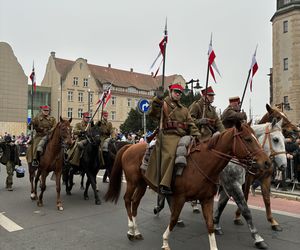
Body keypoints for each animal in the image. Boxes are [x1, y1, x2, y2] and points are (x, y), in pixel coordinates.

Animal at [105, 123, 270, 250]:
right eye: (248, 139)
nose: (267, 162)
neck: (202, 164)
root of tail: (129, 147)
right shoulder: (180, 197)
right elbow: (173, 218)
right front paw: (165, 242)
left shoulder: (207, 199)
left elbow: (210, 224)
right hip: (132, 182)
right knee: (127, 200)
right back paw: (130, 230)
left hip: (142, 185)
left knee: (135, 204)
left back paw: (137, 231)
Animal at [213, 120, 286, 249]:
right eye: (276, 139)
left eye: (284, 139)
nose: (284, 165)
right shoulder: (238, 183)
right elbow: (245, 205)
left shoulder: (264, 179)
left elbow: (267, 200)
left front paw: (273, 222)